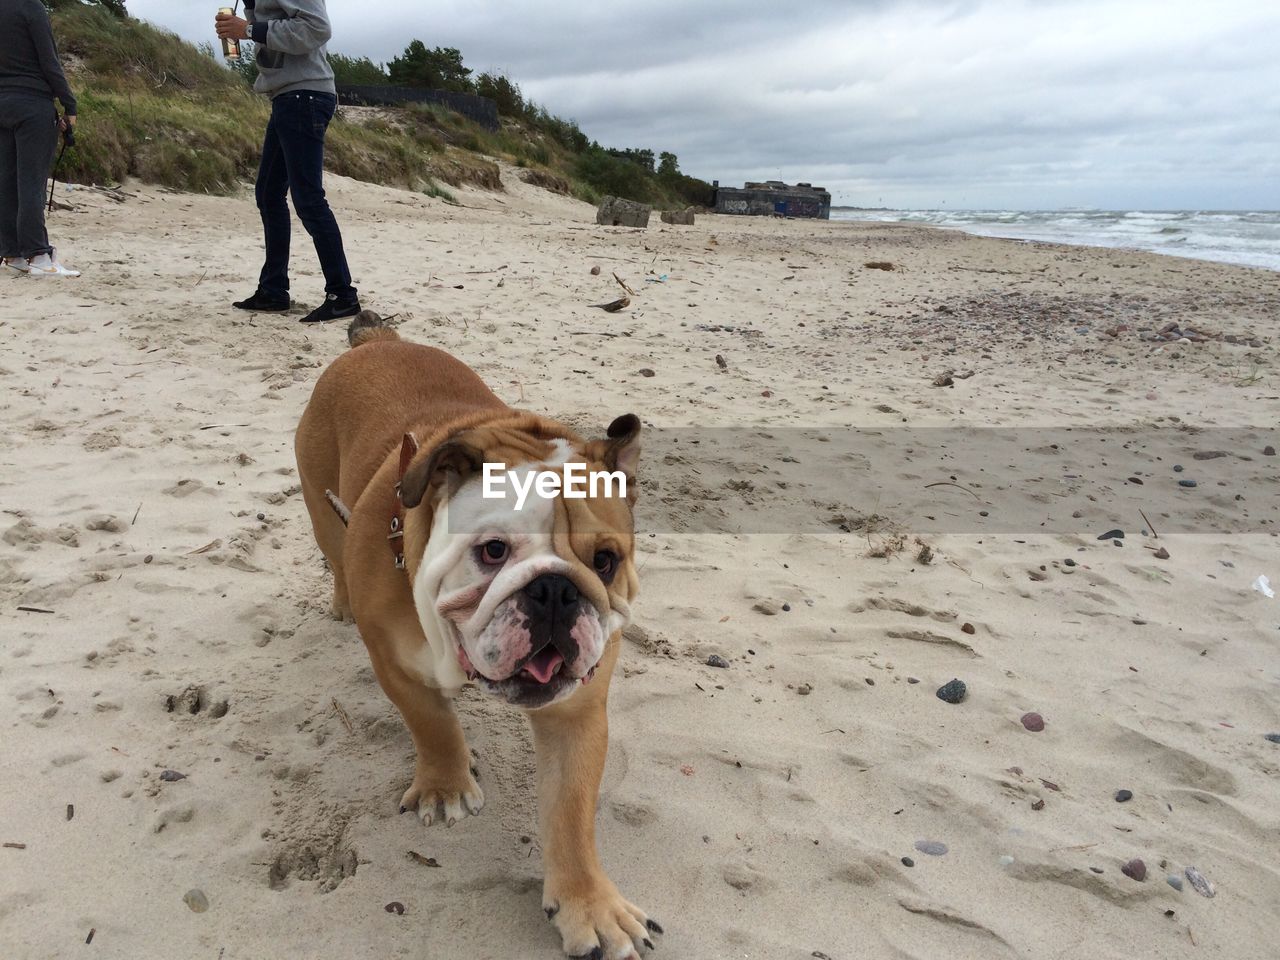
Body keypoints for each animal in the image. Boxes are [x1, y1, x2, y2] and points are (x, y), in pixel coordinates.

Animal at [293, 312, 655, 957]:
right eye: (492, 551)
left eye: (606, 561)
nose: (556, 590)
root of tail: (378, 342)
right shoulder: (396, 665)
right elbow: (432, 725)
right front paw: (446, 785)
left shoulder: (577, 711)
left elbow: (570, 809)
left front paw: (589, 904)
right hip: (320, 508)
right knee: (332, 553)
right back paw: (339, 603)